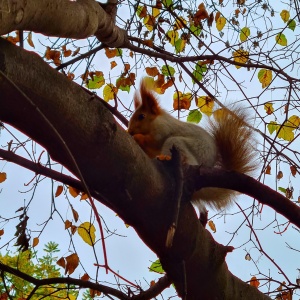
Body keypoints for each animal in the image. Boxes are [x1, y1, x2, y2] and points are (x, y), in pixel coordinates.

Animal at [127, 78, 256, 212]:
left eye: (141, 116)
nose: (130, 130)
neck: (155, 121)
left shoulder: (163, 129)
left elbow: (155, 140)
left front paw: (137, 137)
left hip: (179, 145)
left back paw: (166, 158)